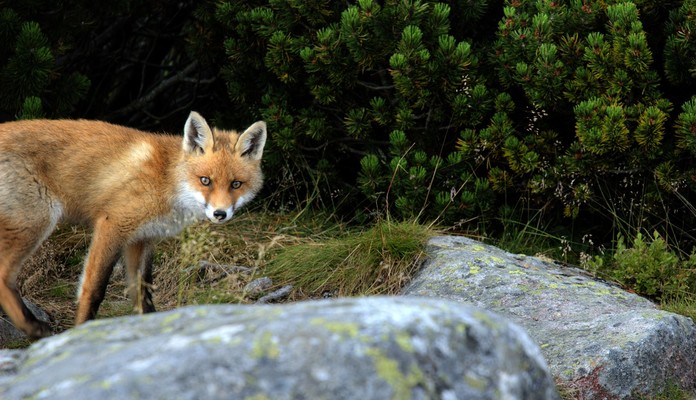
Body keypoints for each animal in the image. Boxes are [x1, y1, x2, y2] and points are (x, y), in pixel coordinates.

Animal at [0, 111, 266, 338]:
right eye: (205, 180)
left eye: (235, 184)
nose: (220, 213)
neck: (167, 180)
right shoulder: (113, 224)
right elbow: (94, 289)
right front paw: (82, 330)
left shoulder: (141, 239)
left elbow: (143, 295)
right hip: (35, 222)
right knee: (4, 276)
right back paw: (33, 327)